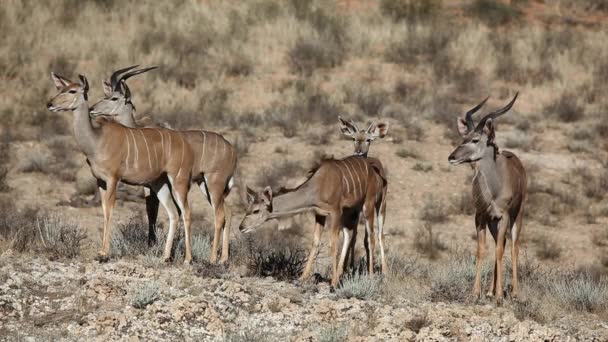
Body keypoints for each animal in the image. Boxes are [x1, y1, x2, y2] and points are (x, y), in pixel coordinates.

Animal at [47, 73, 195, 264]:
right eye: (60, 89)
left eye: (72, 91)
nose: (50, 104)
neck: (96, 140)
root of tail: (185, 142)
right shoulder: (100, 181)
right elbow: (103, 209)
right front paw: (101, 251)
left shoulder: (113, 179)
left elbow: (110, 210)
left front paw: (104, 253)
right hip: (159, 183)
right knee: (173, 213)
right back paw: (165, 256)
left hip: (178, 180)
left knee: (186, 212)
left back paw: (188, 259)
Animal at [90, 67, 238, 264]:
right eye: (105, 95)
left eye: (114, 98)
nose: (92, 109)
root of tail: (232, 150)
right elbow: (159, 212)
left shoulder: (157, 184)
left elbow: (158, 211)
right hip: (205, 185)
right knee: (227, 212)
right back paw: (223, 258)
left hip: (213, 183)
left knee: (219, 215)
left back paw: (212, 258)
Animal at [238, 156, 384, 288]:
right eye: (247, 209)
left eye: (256, 211)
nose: (241, 227)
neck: (318, 187)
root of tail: (375, 172)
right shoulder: (320, 214)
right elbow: (315, 242)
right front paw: (302, 278)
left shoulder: (335, 212)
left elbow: (333, 244)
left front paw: (333, 283)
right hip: (350, 210)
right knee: (349, 235)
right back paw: (342, 274)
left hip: (368, 205)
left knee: (371, 238)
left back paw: (370, 277)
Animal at [338, 116, 390, 274]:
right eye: (353, 138)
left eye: (368, 140)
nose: (359, 152)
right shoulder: (354, 210)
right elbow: (352, 237)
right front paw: (347, 269)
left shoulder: (369, 205)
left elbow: (371, 239)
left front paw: (371, 273)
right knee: (361, 237)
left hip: (381, 205)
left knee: (379, 235)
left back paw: (385, 270)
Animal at [446, 93, 528, 304]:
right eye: (463, 137)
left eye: (475, 139)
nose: (452, 157)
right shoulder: (481, 216)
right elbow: (481, 250)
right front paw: (477, 293)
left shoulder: (504, 216)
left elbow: (499, 250)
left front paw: (500, 297)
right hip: (493, 223)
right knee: (502, 245)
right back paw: (490, 291)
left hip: (517, 216)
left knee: (513, 247)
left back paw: (515, 293)